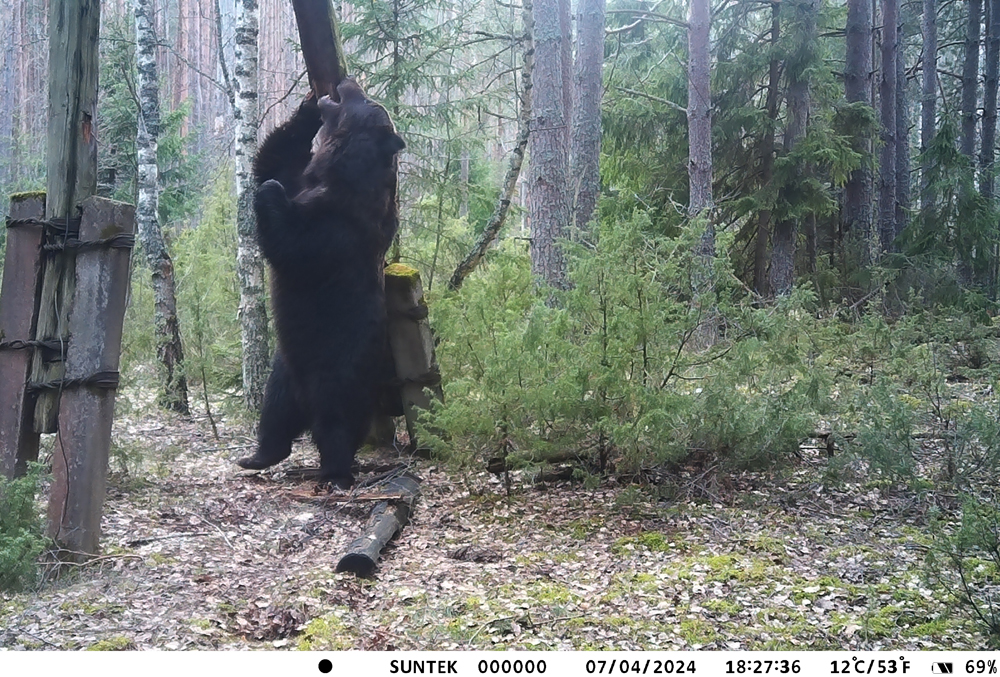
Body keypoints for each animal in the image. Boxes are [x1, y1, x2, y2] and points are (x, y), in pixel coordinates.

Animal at [236, 79, 404, 486]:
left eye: (365, 99)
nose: (347, 82)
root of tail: (305, 402)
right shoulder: (305, 181)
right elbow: (274, 160)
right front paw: (308, 108)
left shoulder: (339, 232)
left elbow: (292, 245)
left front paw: (270, 192)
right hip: (284, 370)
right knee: (274, 415)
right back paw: (256, 457)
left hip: (337, 369)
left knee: (337, 424)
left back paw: (334, 472)